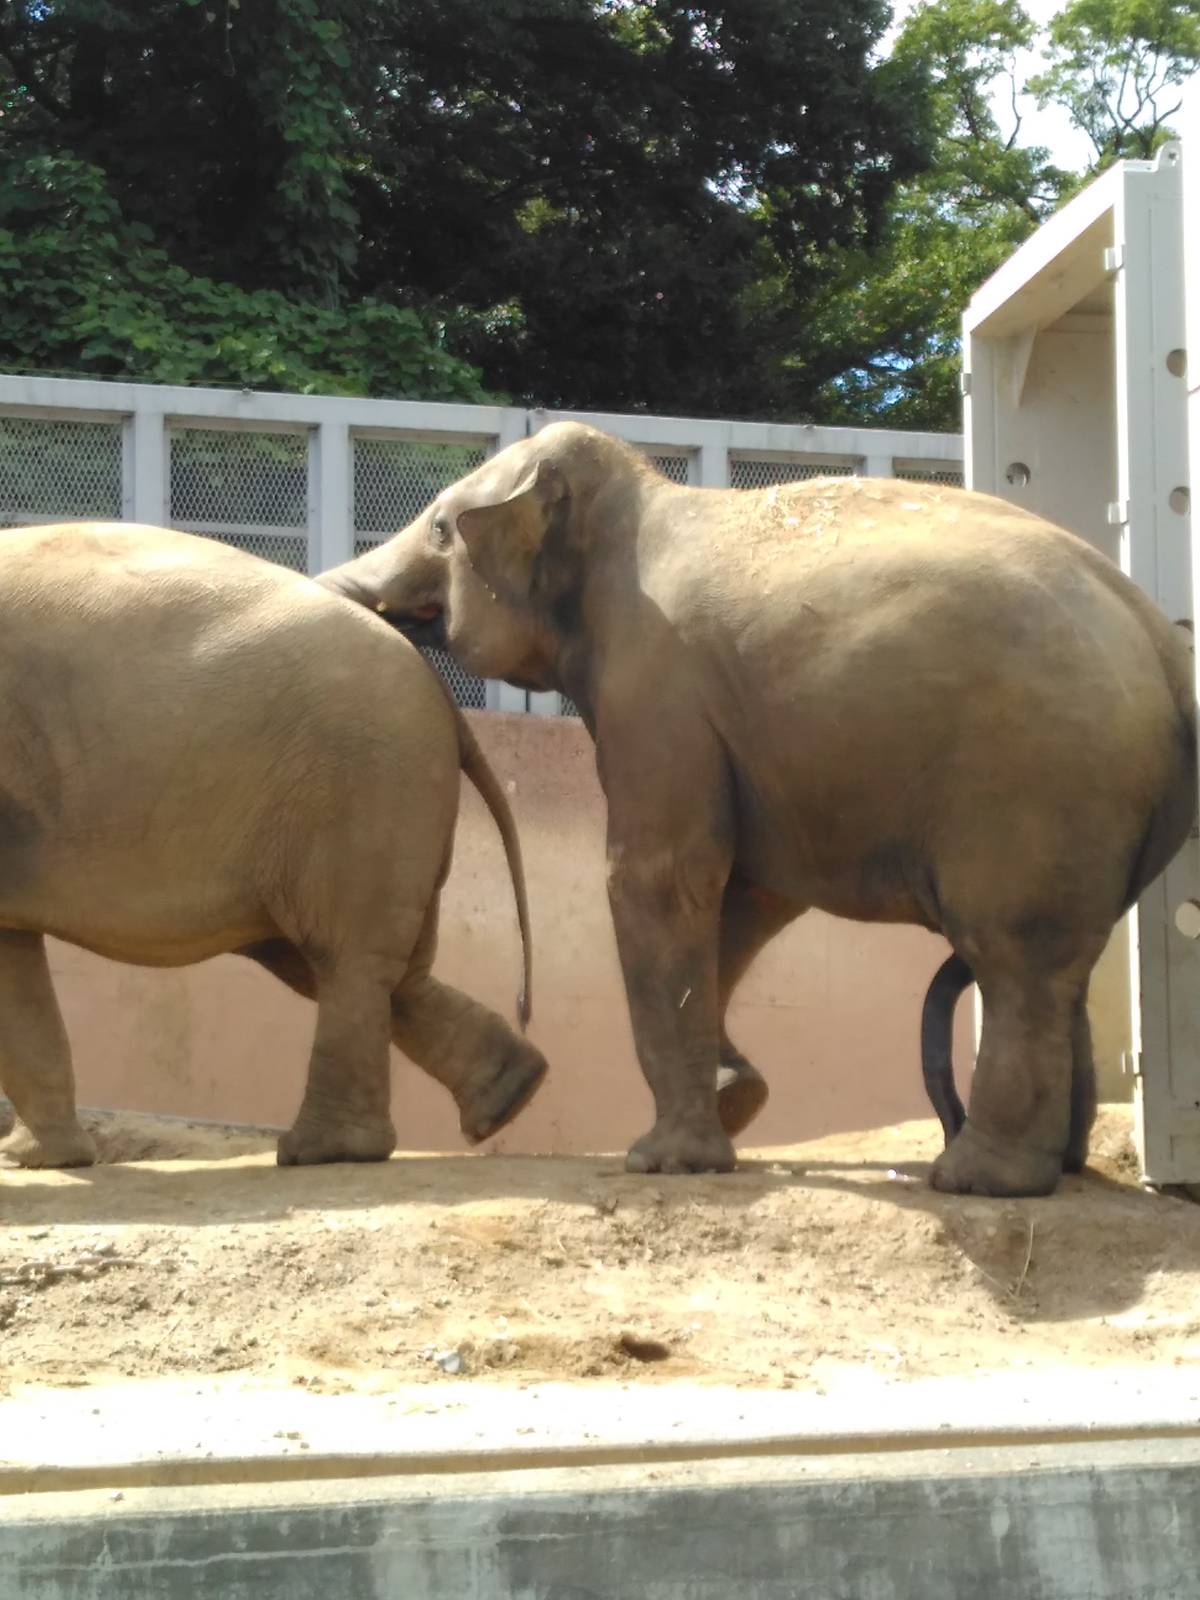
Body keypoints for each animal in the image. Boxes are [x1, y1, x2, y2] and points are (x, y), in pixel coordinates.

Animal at [0, 521, 547, 1170]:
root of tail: (441, 693)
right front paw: (38, 1163)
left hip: (360, 788)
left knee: (344, 959)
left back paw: (323, 1151)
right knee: (373, 969)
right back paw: (507, 1096)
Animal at [319, 422, 1196, 1196]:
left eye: (439, 528)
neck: (637, 496)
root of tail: (1162, 645)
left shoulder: (656, 687)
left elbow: (663, 878)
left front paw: (664, 1162)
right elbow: (746, 894)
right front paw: (735, 1097)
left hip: (1034, 781)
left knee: (1012, 960)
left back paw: (979, 1182)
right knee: (1056, 969)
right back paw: (1064, 1169)